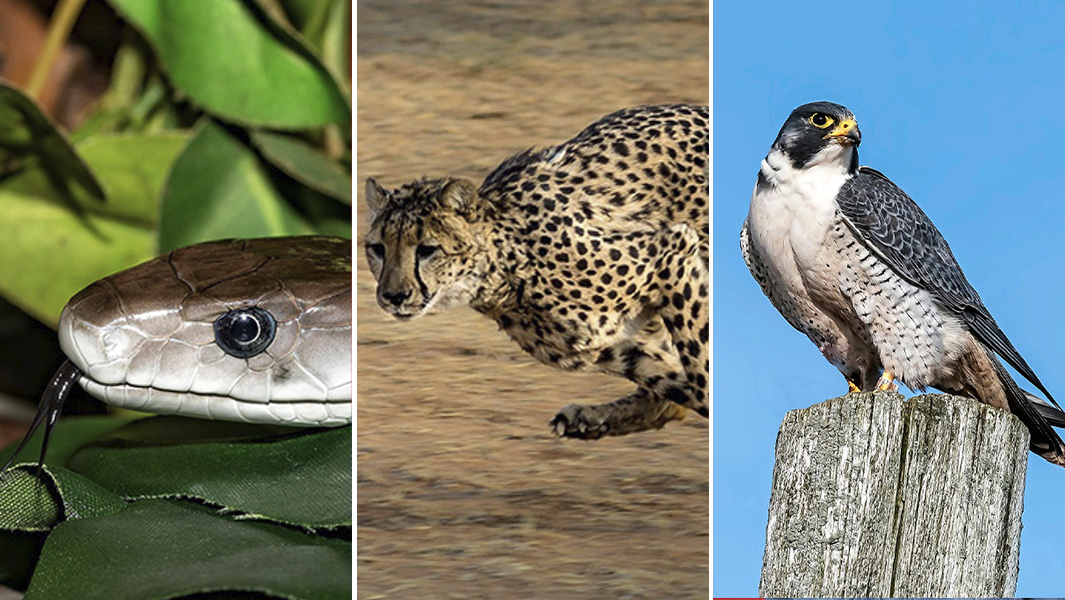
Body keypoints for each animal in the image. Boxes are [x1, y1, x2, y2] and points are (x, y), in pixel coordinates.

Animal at [364, 104, 708, 439]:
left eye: (427, 249)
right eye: (378, 248)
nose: (394, 296)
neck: (505, 270)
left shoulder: (671, 252)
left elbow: (702, 373)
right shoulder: (618, 347)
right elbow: (686, 383)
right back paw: (587, 420)